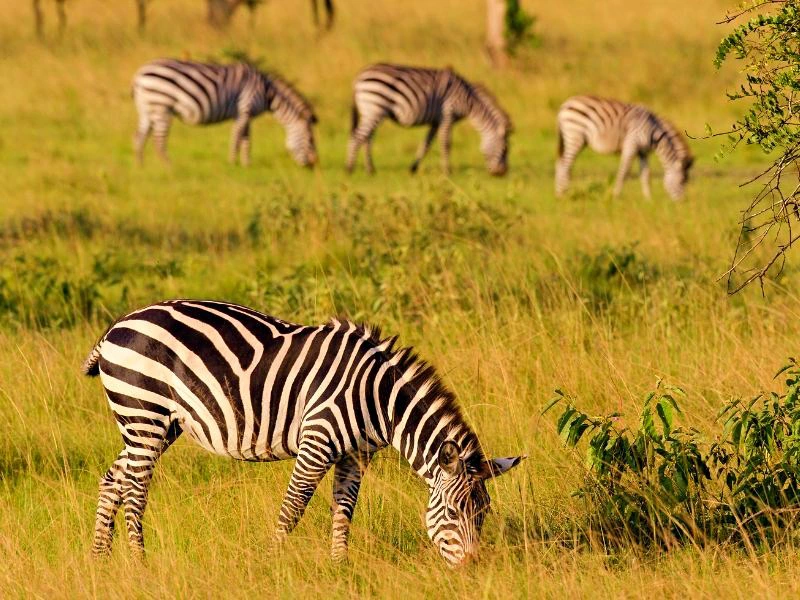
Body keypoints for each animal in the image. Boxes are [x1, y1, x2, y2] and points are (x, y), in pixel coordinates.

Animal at [84, 299, 524, 566]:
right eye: (451, 513)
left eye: (483, 514)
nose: (472, 569)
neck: (378, 398)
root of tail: (117, 325)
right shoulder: (317, 441)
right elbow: (292, 508)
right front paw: (271, 565)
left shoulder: (355, 455)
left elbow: (344, 510)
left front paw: (340, 567)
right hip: (144, 413)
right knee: (135, 491)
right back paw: (140, 563)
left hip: (155, 424)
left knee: (113, 480)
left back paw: (101, 559)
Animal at [132, 59, 318, 167]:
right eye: (310, 140)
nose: (313, 165)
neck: (267, 92)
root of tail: (139, 75)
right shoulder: (244, 109)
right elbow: (237, 137)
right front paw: (232, 163)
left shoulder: (247, 115)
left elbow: (247, 140)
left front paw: (246, 164)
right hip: (161, 106)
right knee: (159, 140)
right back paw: (169, 167)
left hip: (147, 109)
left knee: (139, 137)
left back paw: (141, 167)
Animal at [346, 64, 512, 176]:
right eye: (504, 149)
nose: (501, 173)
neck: (469, 100)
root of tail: (358, 77)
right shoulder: (447, 114)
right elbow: (446, 143)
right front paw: (447, 171)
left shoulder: (436, 121)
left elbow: (426, 144)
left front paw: (413, 168)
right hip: (375, 107)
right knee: (357, 137)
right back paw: (350, 168)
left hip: (374, 112)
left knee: (367, 139)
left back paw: (370, 169)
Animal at [555, 95, 694, 200]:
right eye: (682, 181)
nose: (683, 202)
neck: (653, 131)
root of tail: (565, 105)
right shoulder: (631, 144)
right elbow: (624, 172)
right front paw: (616, 196)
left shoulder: (643, 152)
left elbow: (645, 175)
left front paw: (648, 199)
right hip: (575, 136)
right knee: (565, 165)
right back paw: (563, 194)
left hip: (576, 139)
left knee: (560, 163)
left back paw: (559, 193)